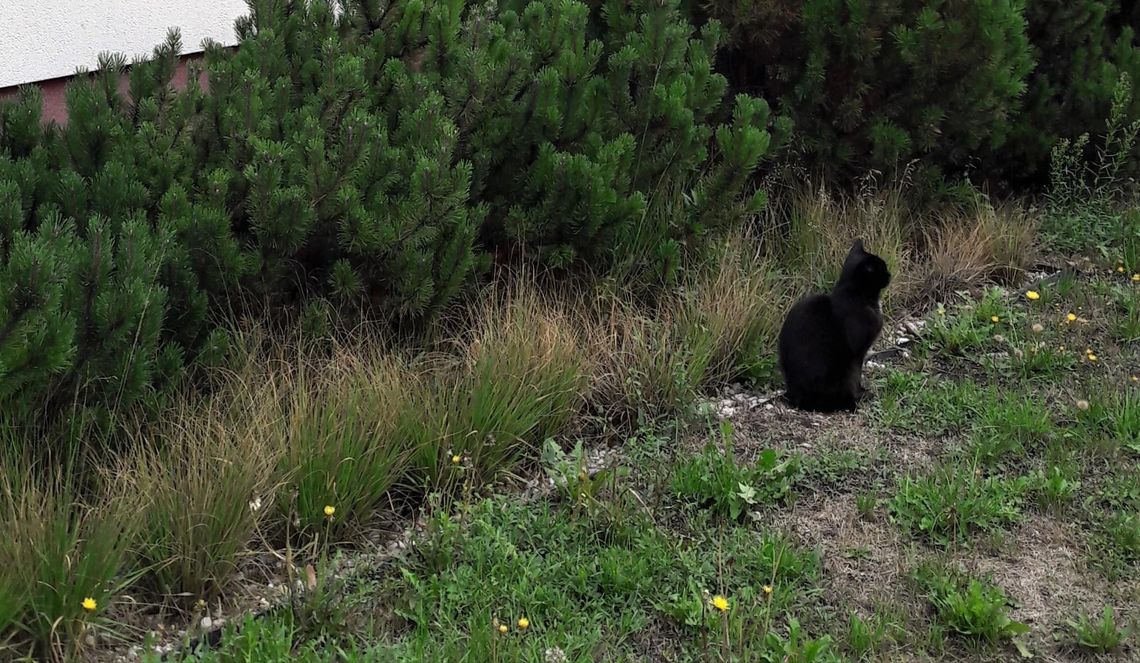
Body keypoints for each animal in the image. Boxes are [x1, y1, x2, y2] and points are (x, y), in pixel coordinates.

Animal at [779, 241, 893, 412]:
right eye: (882, 269)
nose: (890, 274)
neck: (855, 296)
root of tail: (798, 399)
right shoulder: (858, 351)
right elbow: (857, 375)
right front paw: (861, 393)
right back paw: (853, 402)